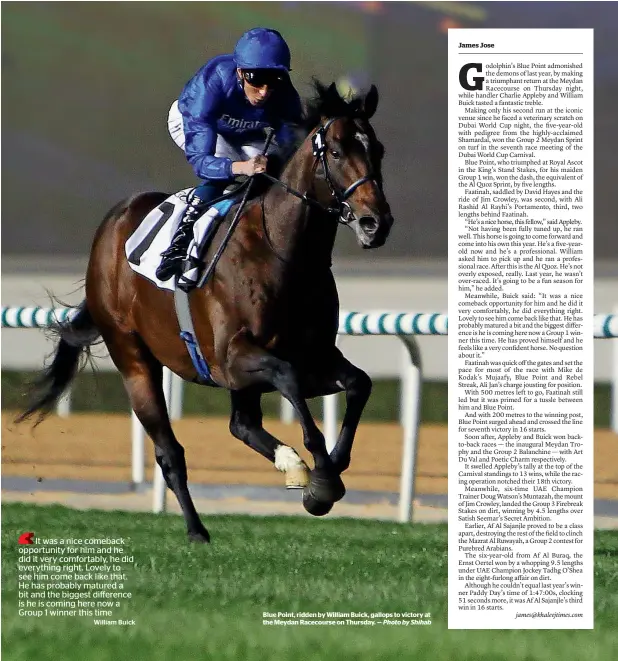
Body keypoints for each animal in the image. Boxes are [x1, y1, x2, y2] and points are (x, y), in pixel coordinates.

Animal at [22, 84, 394, 540]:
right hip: (133, 358)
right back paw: (197, 529)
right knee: (170, 452)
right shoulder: (232, 359)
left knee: (242, 424)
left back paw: (288, 465)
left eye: (378, 149)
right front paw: (321, 479)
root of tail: (112, 226)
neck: (284, 254)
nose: (376, 223)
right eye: (337, 152)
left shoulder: (314, 357)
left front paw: (329, 474)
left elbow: (359, 383)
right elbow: (288, 376)